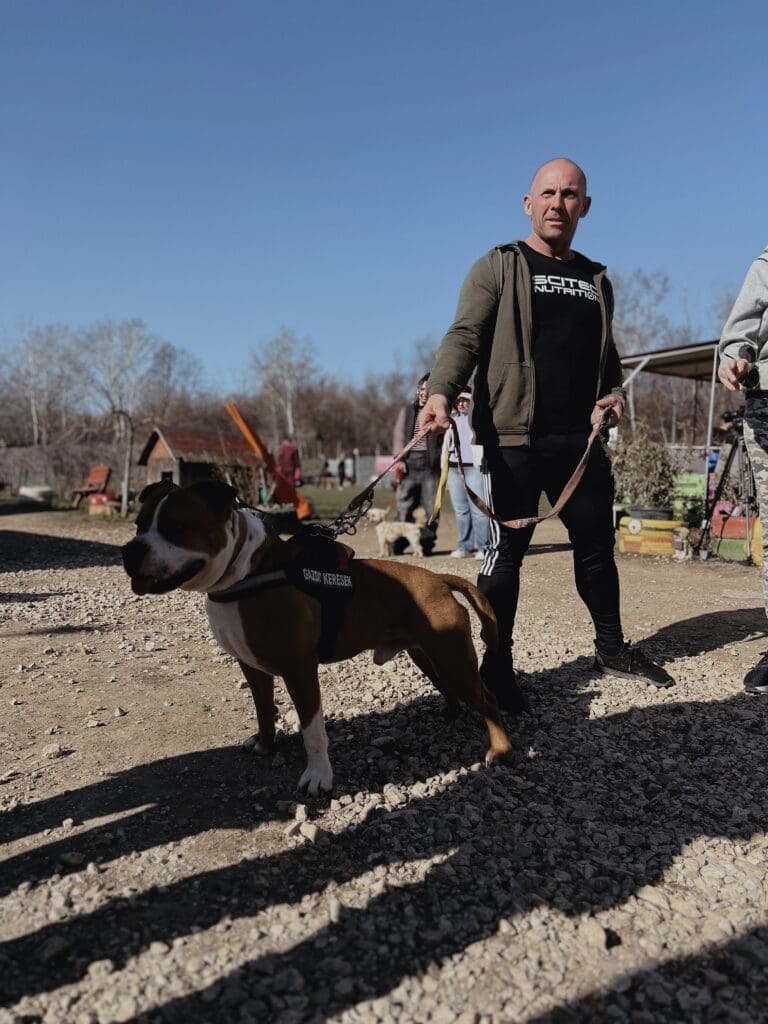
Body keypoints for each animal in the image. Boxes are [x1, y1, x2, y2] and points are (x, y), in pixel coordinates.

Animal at [122, 480, 511, 795]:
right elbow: (263, 709)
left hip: (452, 660)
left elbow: (312, 731)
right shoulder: (252, 668)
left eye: (176, 528)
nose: (130, 549)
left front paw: (319, 776)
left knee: (488, 699)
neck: (246, 573)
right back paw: (451, 713)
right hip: (430, 657)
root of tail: (439, 579)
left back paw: (500, 750)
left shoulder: (300, 672)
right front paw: (265, 744)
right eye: (139, 525)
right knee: (451, 690)